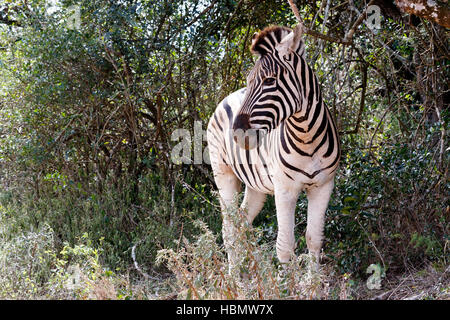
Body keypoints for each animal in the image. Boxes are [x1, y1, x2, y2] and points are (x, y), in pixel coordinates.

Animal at [207, 25, 342, 272]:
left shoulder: (323, 186)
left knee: (242, 220)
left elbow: (314, 239)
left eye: (270, 80)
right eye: (249, 80)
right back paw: (233, 278)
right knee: (229, 229)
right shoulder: (285, 189)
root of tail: (228, 96)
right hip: (223, 174)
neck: (306, 136)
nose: (237, 134)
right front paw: (289, 282)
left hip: (256, 184)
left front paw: (313, 281)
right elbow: (285, 246)